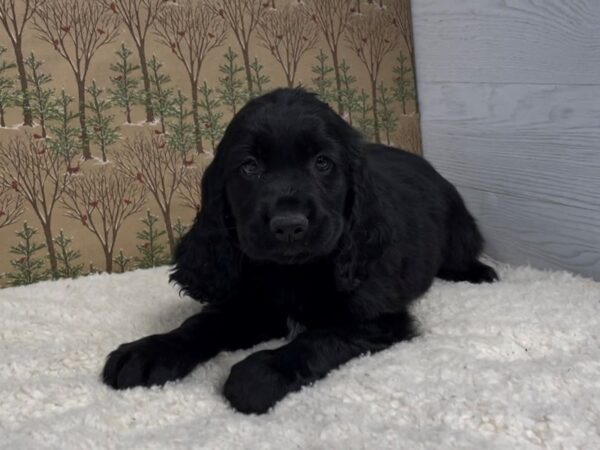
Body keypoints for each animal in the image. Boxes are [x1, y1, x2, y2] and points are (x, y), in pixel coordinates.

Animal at [103, 89, 496, 414]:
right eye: (250, 166)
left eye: (322, 163)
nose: (289, 225)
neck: (291, 273)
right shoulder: (251, 307)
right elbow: (201, 323)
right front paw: (149, 351)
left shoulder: (376, 317)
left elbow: (319, 338)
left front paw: (260, 373)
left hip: (458, 231)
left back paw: (480, 273)